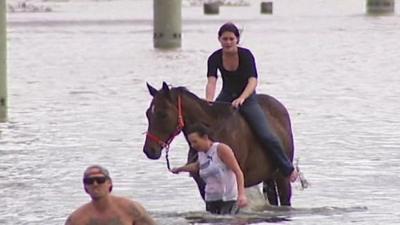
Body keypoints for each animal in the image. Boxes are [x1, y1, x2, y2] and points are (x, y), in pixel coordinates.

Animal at [142, 82, 296, 206]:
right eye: (148, 113)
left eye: (163, 114)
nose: (149, 150)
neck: (212, 135)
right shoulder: (204, 187)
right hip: (268, 178)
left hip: (281, 177)